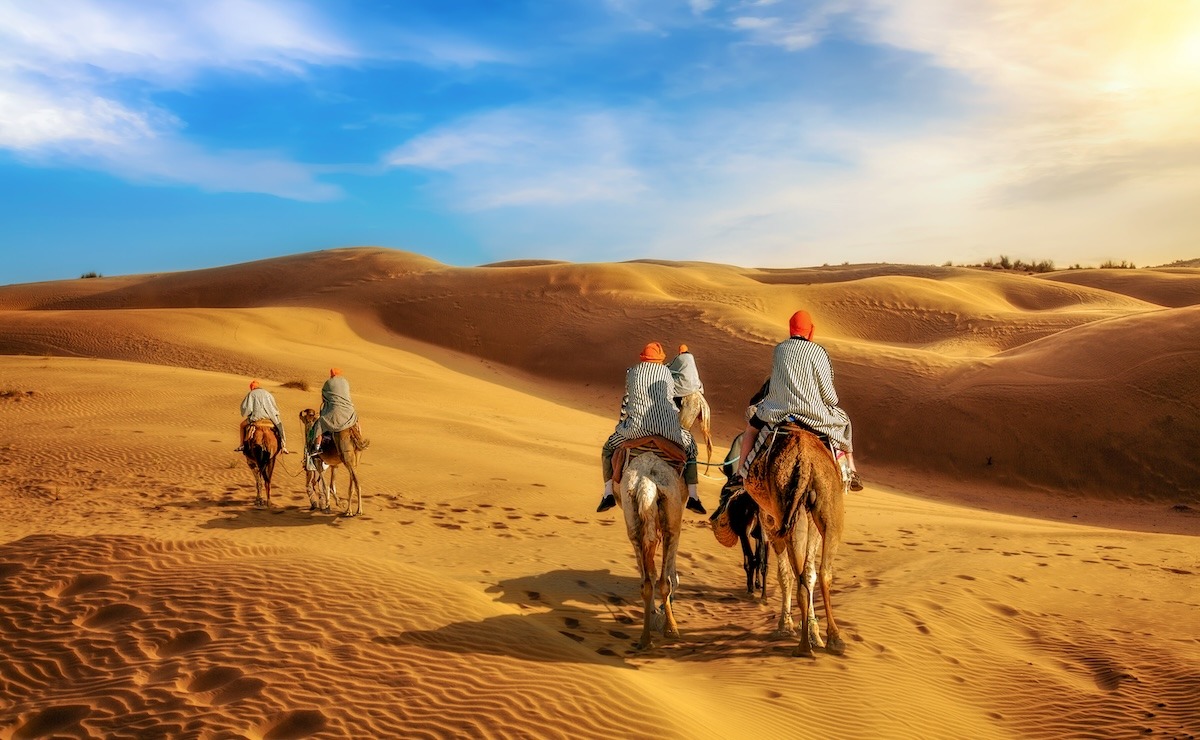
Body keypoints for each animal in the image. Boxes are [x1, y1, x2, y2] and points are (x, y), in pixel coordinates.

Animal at [614, 436, 691, 647]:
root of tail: (645, 481)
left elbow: (651, 570)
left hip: (632, 516)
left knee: (646, 581)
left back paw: (645, 638)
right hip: (672, 517)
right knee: (664, 580)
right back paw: (671, 629)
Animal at [739, 424, 844, 657]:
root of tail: (805, 462)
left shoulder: (769, 519)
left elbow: (784, 574)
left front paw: (785, 625)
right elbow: (808, 572)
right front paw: (812, 632)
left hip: (785, 505)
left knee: (801, 576)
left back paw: (804, 646)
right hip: (828, 500)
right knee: (823, 573)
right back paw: (833, 639)